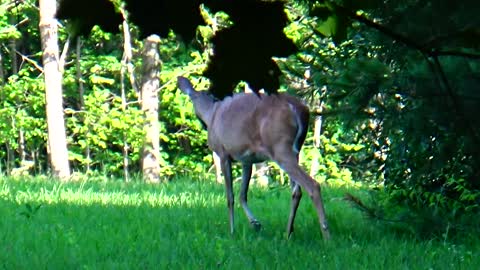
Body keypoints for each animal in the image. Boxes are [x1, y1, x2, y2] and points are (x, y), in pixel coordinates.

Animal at [176, 76, 330, 240]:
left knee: (313, 185)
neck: (211, 112)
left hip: (280, 147)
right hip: (296, 150)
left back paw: (326, 236)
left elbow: (230, 196)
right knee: (296, 191)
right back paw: (288, 233)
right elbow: (242, 194)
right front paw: (255, 223)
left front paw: (232, 230)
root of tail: (299, 109)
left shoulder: (223, 153)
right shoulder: (247, 159)